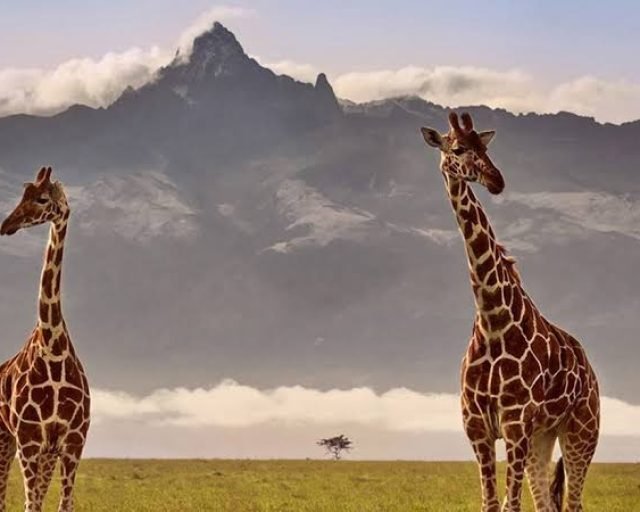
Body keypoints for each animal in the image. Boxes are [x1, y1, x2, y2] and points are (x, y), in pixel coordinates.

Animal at [0, 166, 90, 512]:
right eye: (21, 194)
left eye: (41, 199)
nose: (6, 225)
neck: (53, 346)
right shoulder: (29, 440)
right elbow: (31, 504)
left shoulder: (71, 442)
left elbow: (64, 504)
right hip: (5, 438)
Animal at [420, 113, 600, 512]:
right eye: (458, 148)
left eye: (485, 147)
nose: (496, 180)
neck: (493, 321)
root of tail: (590, 370)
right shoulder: (477, 428)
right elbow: (490, 503)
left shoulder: (516, 424)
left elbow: (509, 504)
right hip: (542, 437)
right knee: (547, 503)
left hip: (581, 430)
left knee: (573, 502)